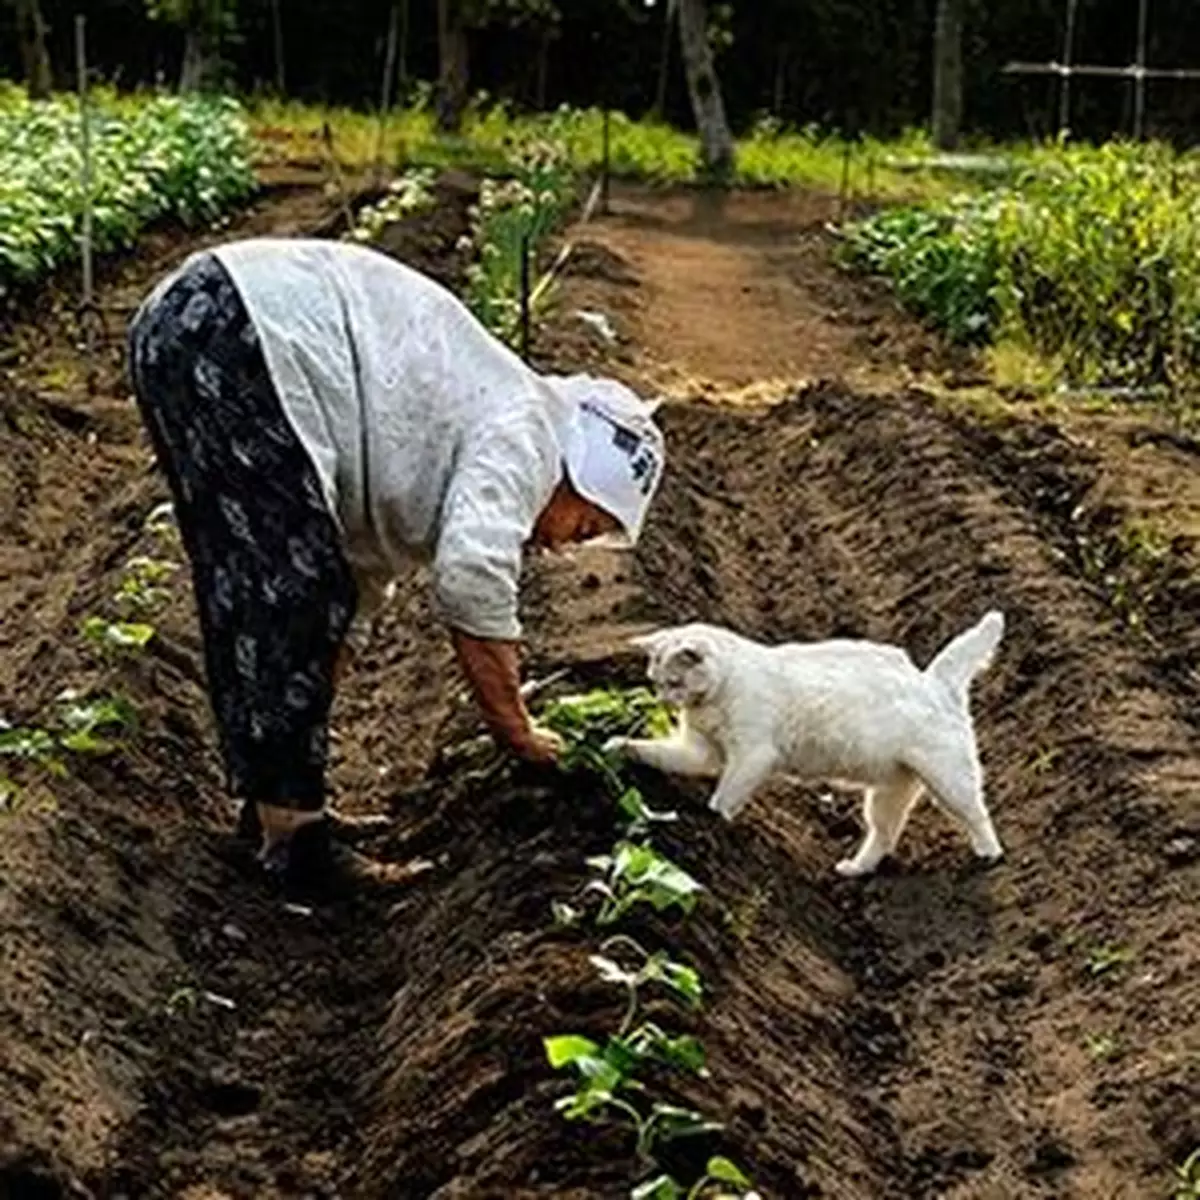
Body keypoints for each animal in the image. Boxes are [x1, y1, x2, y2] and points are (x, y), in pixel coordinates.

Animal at [604, 614, 1008, 878]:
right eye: (654, 681)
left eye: (673, 683)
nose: (664, 701)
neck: (712, 700)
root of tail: (935, 682)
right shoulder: (700, 753)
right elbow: (650, 751)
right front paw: (613, 747)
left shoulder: (752, 756)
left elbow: (721, 800)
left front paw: (712, 823)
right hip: (888, 794)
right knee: (884, 836)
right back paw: (856, 870)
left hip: (949, 781)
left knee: (978, 814)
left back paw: (990, 855)